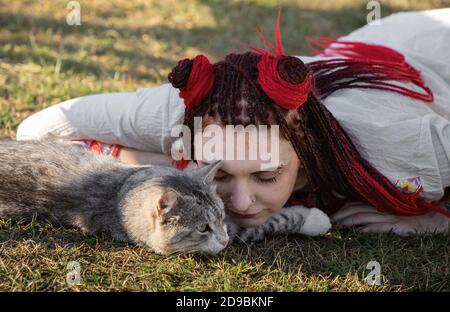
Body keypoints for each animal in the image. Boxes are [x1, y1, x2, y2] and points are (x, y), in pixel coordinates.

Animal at [0, 140, 330, 255]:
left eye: (221, 217)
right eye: (202, 228)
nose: (223, 240)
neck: (119, 193)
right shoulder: (242, 230)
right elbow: (269, 222)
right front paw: (315, 219)